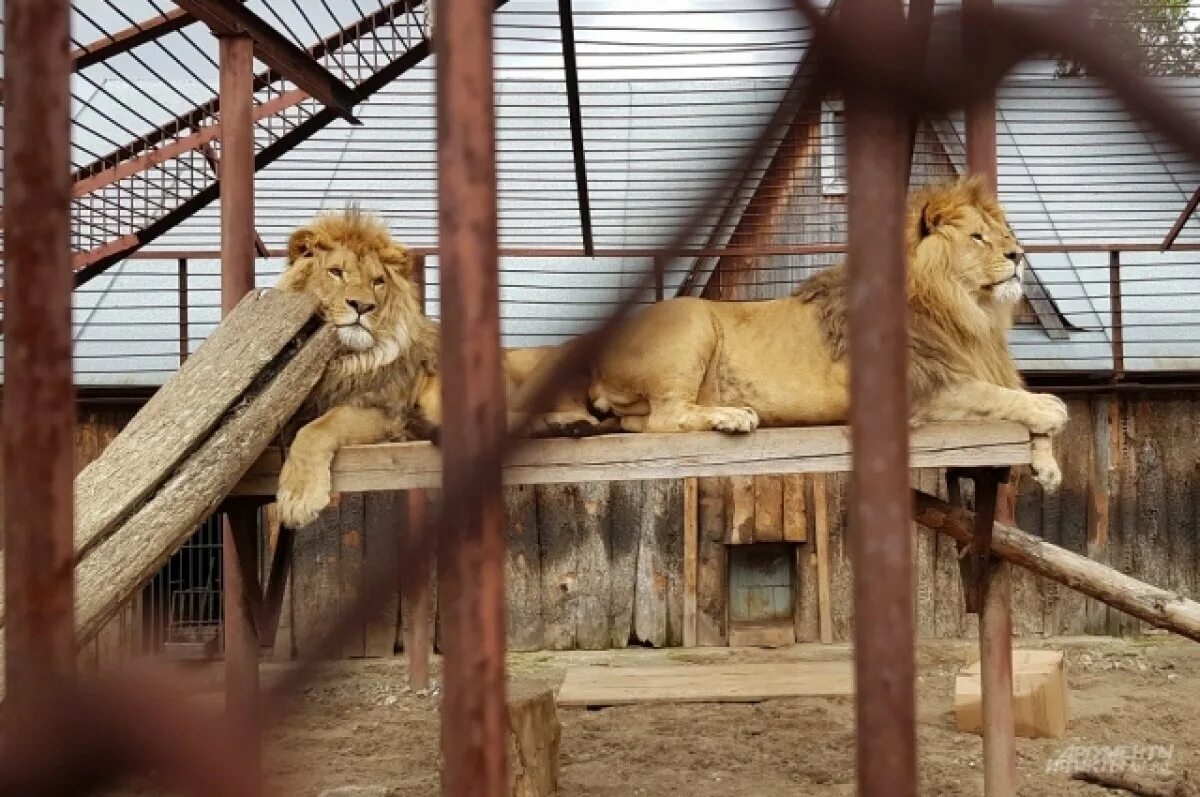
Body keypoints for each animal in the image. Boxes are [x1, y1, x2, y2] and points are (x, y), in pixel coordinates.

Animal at [272, 208, 609, 525]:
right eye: (336, 272)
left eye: (378, 282)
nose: (362, 306)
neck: (345, 358)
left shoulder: (388, 412)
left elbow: (319, 427)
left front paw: (298, 498)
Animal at [576, 176, 1065, 489]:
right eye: (978, 237)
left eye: (1005, 233)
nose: (1019, 255)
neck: (968, 313)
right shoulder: (922, 388)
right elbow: (992, 395)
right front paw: (1050, 408)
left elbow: (1004, 393)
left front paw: (1047, 465)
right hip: (690, 324)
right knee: (667, 416)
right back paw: (733, 416)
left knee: (642, 423)